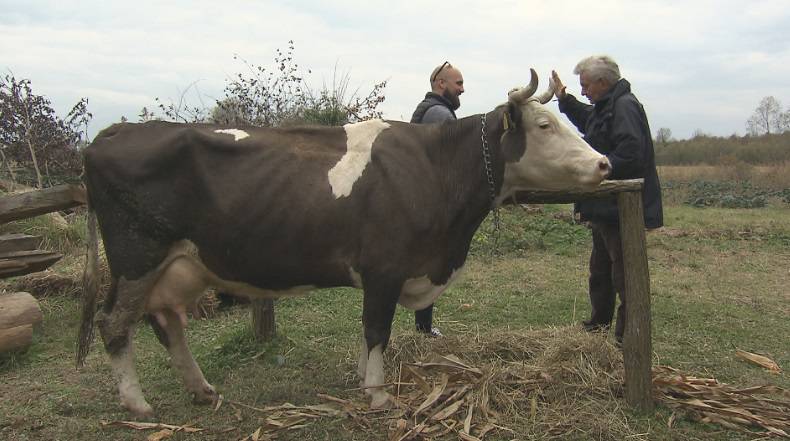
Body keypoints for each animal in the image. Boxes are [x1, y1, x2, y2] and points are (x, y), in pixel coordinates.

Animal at [77, 69, 612, 416]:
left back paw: (202, 390)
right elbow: (377, 329)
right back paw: (138, 404)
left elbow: (370, 332)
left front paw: (362, 378)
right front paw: (376, 392)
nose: (604, 163)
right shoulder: (384, 268)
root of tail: (112, 133)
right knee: (114, 324)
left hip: (180, 264)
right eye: (544, 126)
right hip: (136, 257)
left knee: (166, 322)